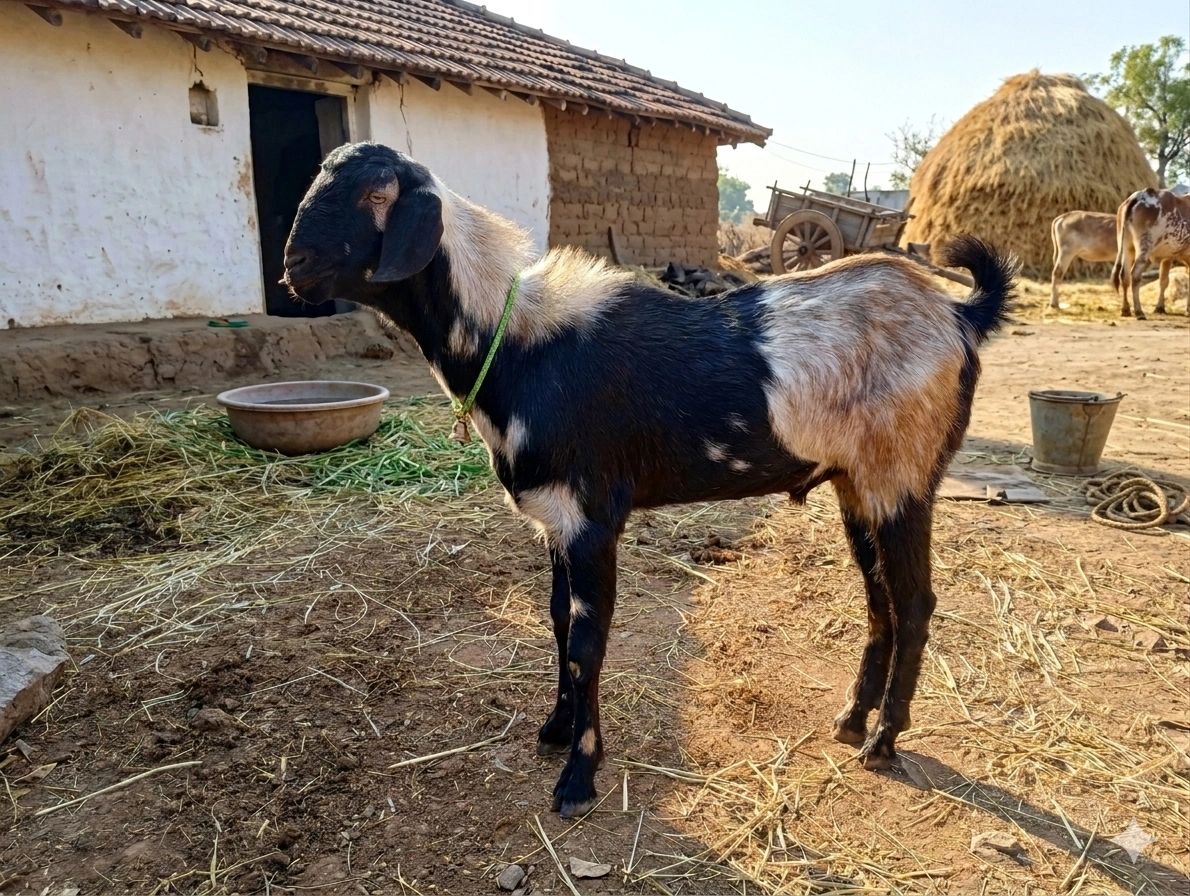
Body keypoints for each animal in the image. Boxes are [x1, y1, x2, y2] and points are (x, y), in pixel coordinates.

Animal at [283, 143, 1014, 818]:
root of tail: (960, 316)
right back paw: (852, 720)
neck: (517, 341)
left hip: (904, 478)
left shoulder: (592, 518)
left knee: (914, 603)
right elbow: (557, 624)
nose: (293, 270)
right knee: (879, 601)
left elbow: (586, 644)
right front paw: (555, 730)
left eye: (375, 195)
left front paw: (578, 779)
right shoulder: (557, 521)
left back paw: (883, 742)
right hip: (856, 485)